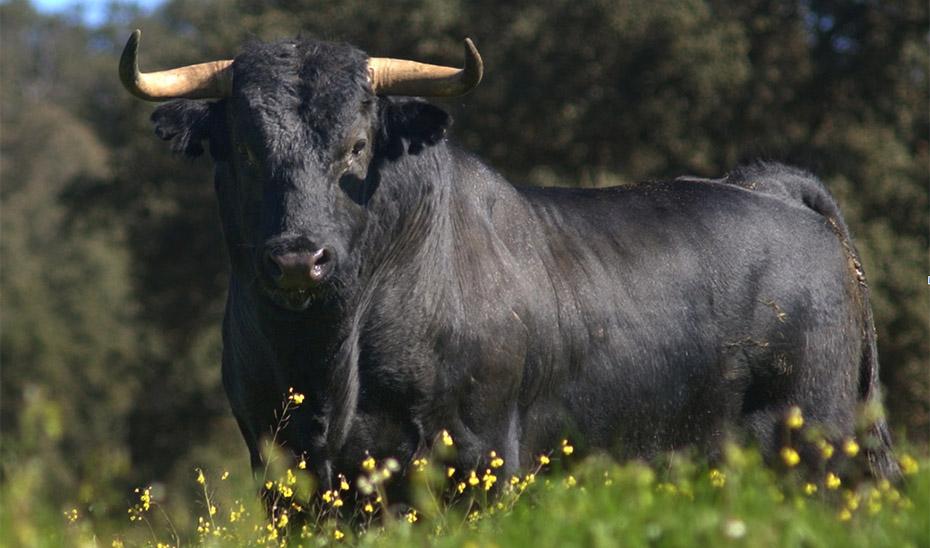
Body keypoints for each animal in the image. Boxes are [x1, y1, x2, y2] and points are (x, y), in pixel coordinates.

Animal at [119, 30, 896, 486]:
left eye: (357, 147)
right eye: (245, 149)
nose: (296, 260)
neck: (328, 355)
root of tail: (773, 188)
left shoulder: (479, 452)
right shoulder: (280, 465)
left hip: (824, 440)